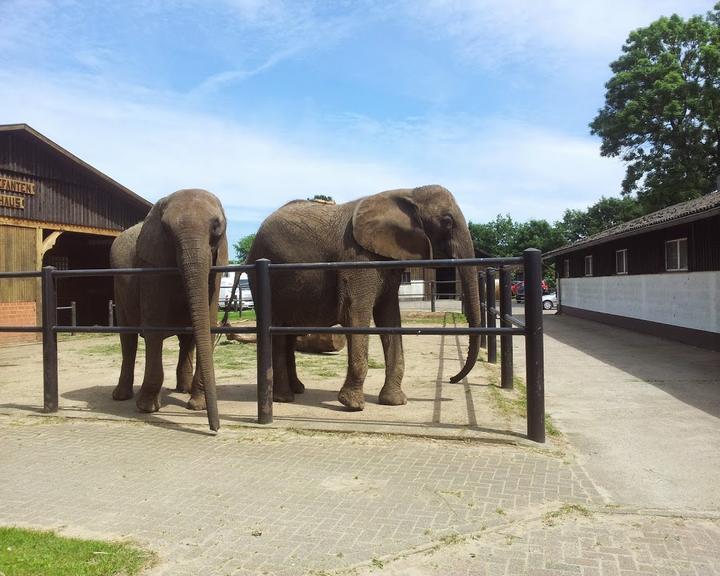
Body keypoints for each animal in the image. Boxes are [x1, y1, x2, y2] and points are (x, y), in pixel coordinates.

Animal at [109, 189, 226, 432]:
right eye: (166, 230)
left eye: (217, 227)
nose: (215, 429)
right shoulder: (152, 265)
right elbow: (154, 327)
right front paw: (147, 408)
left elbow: (208, 324)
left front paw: (197, 406)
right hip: (118, 287)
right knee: (128, 339)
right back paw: (121, 396)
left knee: (187, 339)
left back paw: (183, 389)